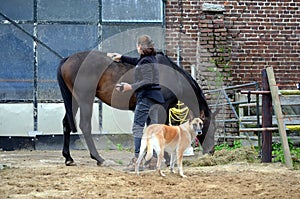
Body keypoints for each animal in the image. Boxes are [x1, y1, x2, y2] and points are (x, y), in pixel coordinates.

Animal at [56, 50, 216, 166]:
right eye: (209, 126)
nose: (211, 151)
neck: (173, 76)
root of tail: (67, 59)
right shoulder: (161, 107)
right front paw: (161, 158)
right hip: (85, 100)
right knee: (85, 125)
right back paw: (99, 158)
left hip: (73, 101)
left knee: (66, 123)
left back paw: (68, 158)